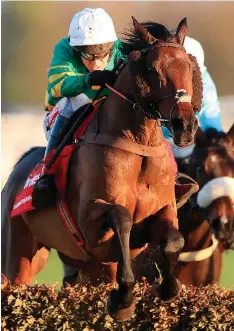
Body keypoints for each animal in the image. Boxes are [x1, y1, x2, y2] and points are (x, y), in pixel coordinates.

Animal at [1, 18, 203, 322]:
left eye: (189, 66)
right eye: (153, 69)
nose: (185, 125)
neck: (138, 145)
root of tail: (17, 170)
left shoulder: (165, 207)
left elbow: (173, 240)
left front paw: (167, 287)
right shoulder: (90, 224)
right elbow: (121, 217)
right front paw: (124, 299)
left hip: (85, 266)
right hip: (18, 254)